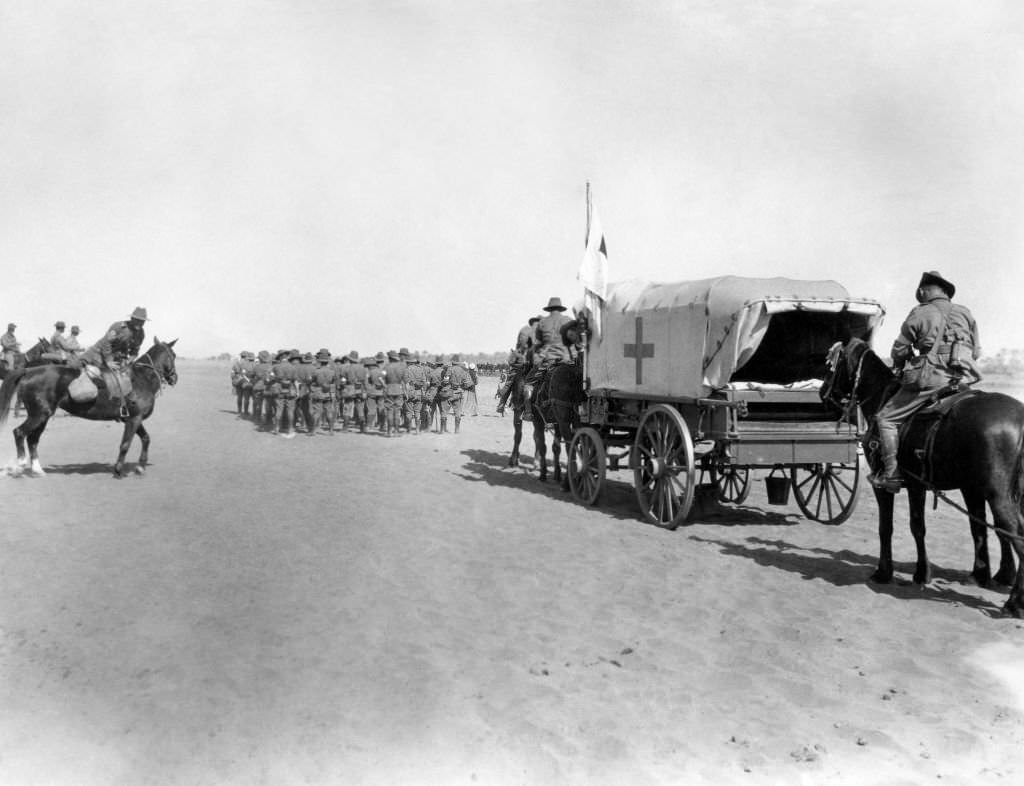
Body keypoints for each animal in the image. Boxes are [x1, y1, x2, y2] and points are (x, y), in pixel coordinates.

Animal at [0, 339, 178, 478]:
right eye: (173, 355)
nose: (174, 378)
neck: (141, 379)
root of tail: (28, 370)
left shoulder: (134, 418)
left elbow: (146, 439)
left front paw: (140, 467)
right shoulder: (134, 419)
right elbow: (125, 444)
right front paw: (118, 470)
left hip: (44, 416)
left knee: (32, 440)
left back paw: (37, 470)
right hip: (39, 415)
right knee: (19, 432)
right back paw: (20, 465)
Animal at [823, 335, 1024, 618]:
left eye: (833, 366)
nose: (823, 393)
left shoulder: (890, 485)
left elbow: (893, 527)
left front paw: (888, 572)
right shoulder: (952, 487)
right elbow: (973, 528)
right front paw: (975, 574)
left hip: (999, 495)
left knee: (1013, 532)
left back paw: (1014, 603)